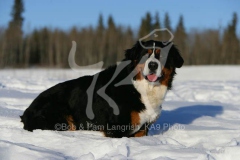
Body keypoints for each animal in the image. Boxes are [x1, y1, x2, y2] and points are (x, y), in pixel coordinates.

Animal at [20, 40, 184, 138]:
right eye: (145, 56)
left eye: (162, 57)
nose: (153, 65)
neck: (139, 88)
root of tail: (28, 110)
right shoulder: (116, 128)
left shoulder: (143, 128)